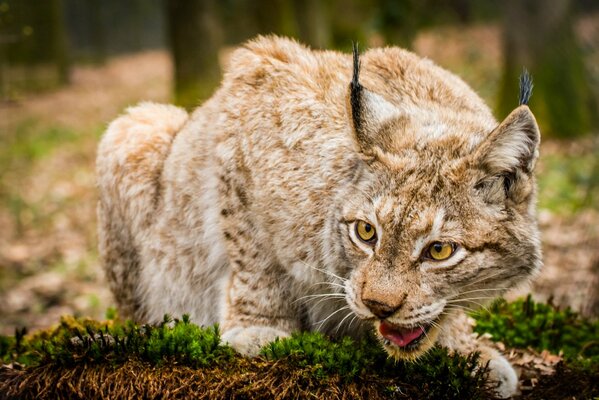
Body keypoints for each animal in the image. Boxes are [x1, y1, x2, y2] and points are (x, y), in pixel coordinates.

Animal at [96, 35, 540, 396]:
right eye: (366, 232)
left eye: (440, 251)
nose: (378, 306)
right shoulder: (250, 95)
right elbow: (253, 254)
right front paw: (260, 327)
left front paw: (463, 346)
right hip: (134, 127)